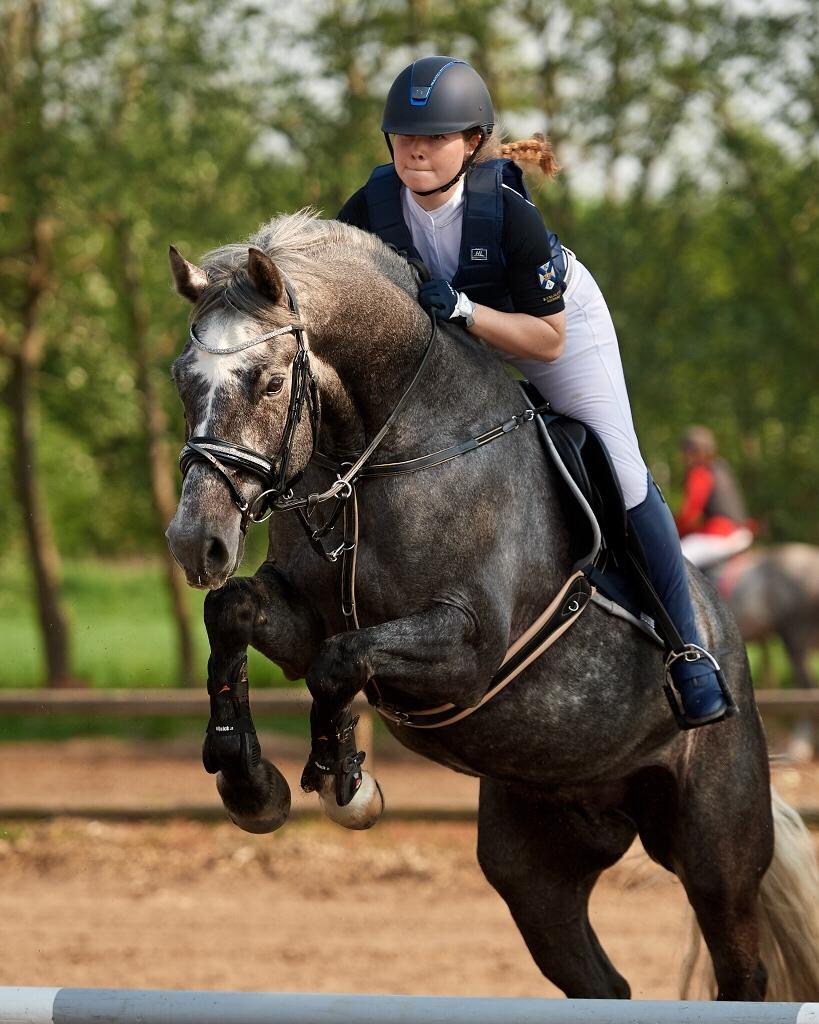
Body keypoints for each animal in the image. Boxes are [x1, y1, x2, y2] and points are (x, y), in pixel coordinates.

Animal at [165, 211, 818, 1003]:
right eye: (181, 380)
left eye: (265, 382)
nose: (195, 542)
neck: (380, 456)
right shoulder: (299, 618)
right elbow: (236, 614)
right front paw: (248, 784)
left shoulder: (467, 648)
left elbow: (340, 663)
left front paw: (346, 780)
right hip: (535, 863)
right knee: (601, 982)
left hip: (716, 850)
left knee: (740, 967)